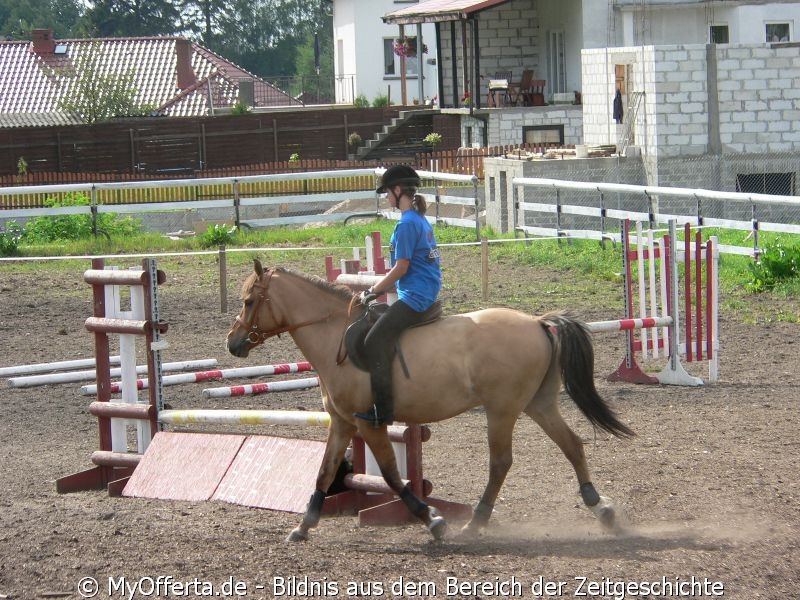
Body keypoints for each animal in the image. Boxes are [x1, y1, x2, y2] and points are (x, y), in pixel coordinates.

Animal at [228, 260, 636, 540]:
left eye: (249, 301)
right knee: (572, 444)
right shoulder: (342, 423)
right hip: (538, 403)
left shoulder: (367, 423)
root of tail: (536, 321)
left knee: (501, 462)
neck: (335, 338)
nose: (233, 344)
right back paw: (602, 510)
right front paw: (304, 526)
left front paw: (433, 520)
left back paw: (475, 522)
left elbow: (392, 476)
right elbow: (325, 471)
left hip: (502, 409)